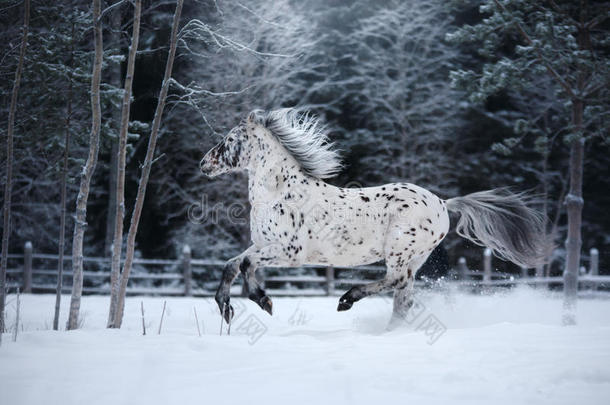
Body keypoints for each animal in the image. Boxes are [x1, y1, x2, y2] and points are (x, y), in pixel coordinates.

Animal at [201, 108, 548, 328]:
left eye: (229, 140)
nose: (204, 164)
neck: (279, 193)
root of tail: (442, 202)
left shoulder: (289, 252)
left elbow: (246, 265)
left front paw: (263, 301)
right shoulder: (264, 245)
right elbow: (233, 264)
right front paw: (227, 308)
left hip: (400, 251)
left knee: (395, 281)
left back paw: (347, 299)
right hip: (415, 258)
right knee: (403, 297)